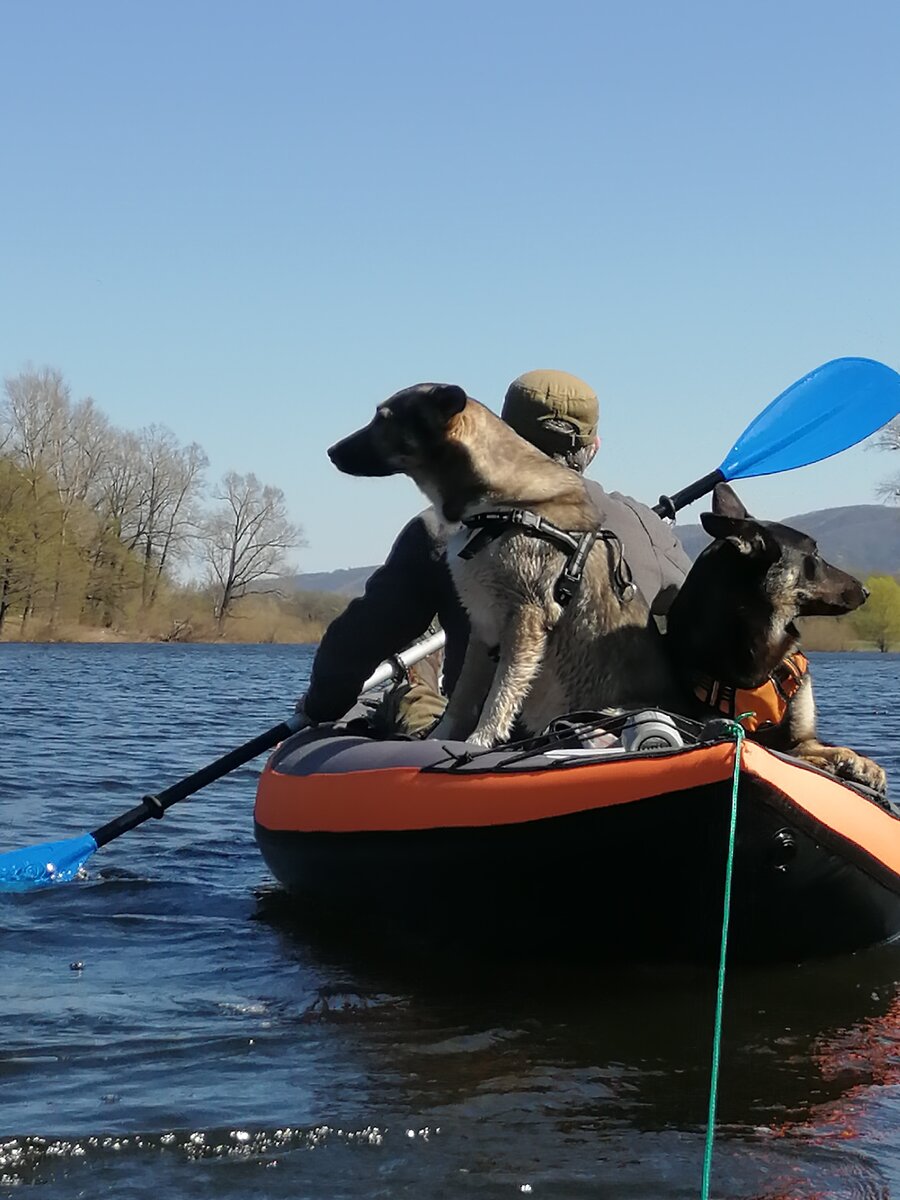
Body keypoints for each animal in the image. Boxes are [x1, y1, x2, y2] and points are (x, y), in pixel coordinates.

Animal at [672, 482, 888, 792]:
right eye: (815, 554)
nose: (866, 591)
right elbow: (795, 753)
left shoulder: (801, 735)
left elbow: (828, 747)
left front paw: (863, 764)